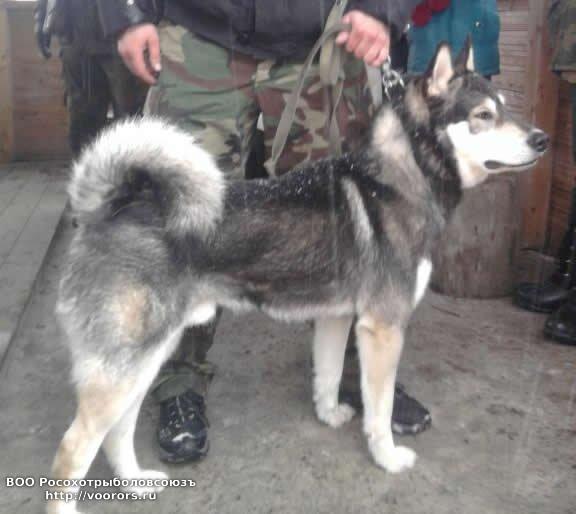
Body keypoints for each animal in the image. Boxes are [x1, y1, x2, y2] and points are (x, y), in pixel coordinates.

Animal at [47, 41, 548, 513]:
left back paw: (135, 481)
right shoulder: (383, 328)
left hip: (145, 359)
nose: (542, 139)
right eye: (484, 116)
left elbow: (328, 374)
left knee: (116, 433)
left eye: (506, 107)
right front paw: (387, 457)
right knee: (73, 448)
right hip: (124, 367)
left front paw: (329, 415)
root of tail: (110, 209)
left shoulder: (338, 318)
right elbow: (379, 409)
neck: (400, 177)